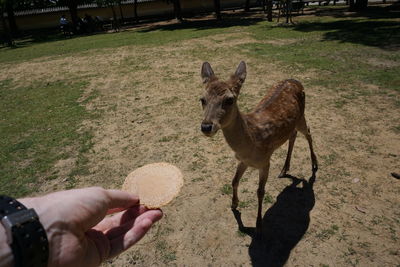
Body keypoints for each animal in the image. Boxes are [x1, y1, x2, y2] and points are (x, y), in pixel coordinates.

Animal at [200, 61, 318, 237]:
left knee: (308, 132)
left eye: (229, 99)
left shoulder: (265, 161)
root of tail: (295, 80)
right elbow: (234, 180)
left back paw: (314, 164)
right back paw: (284, 169)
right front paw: (234, 204)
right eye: (202, 99)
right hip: (294, 122)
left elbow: (260, 191)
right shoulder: (242, 160)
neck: (251, 142)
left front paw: (259, 226)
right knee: (293, 135)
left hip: (302, 115)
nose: (206, 126)